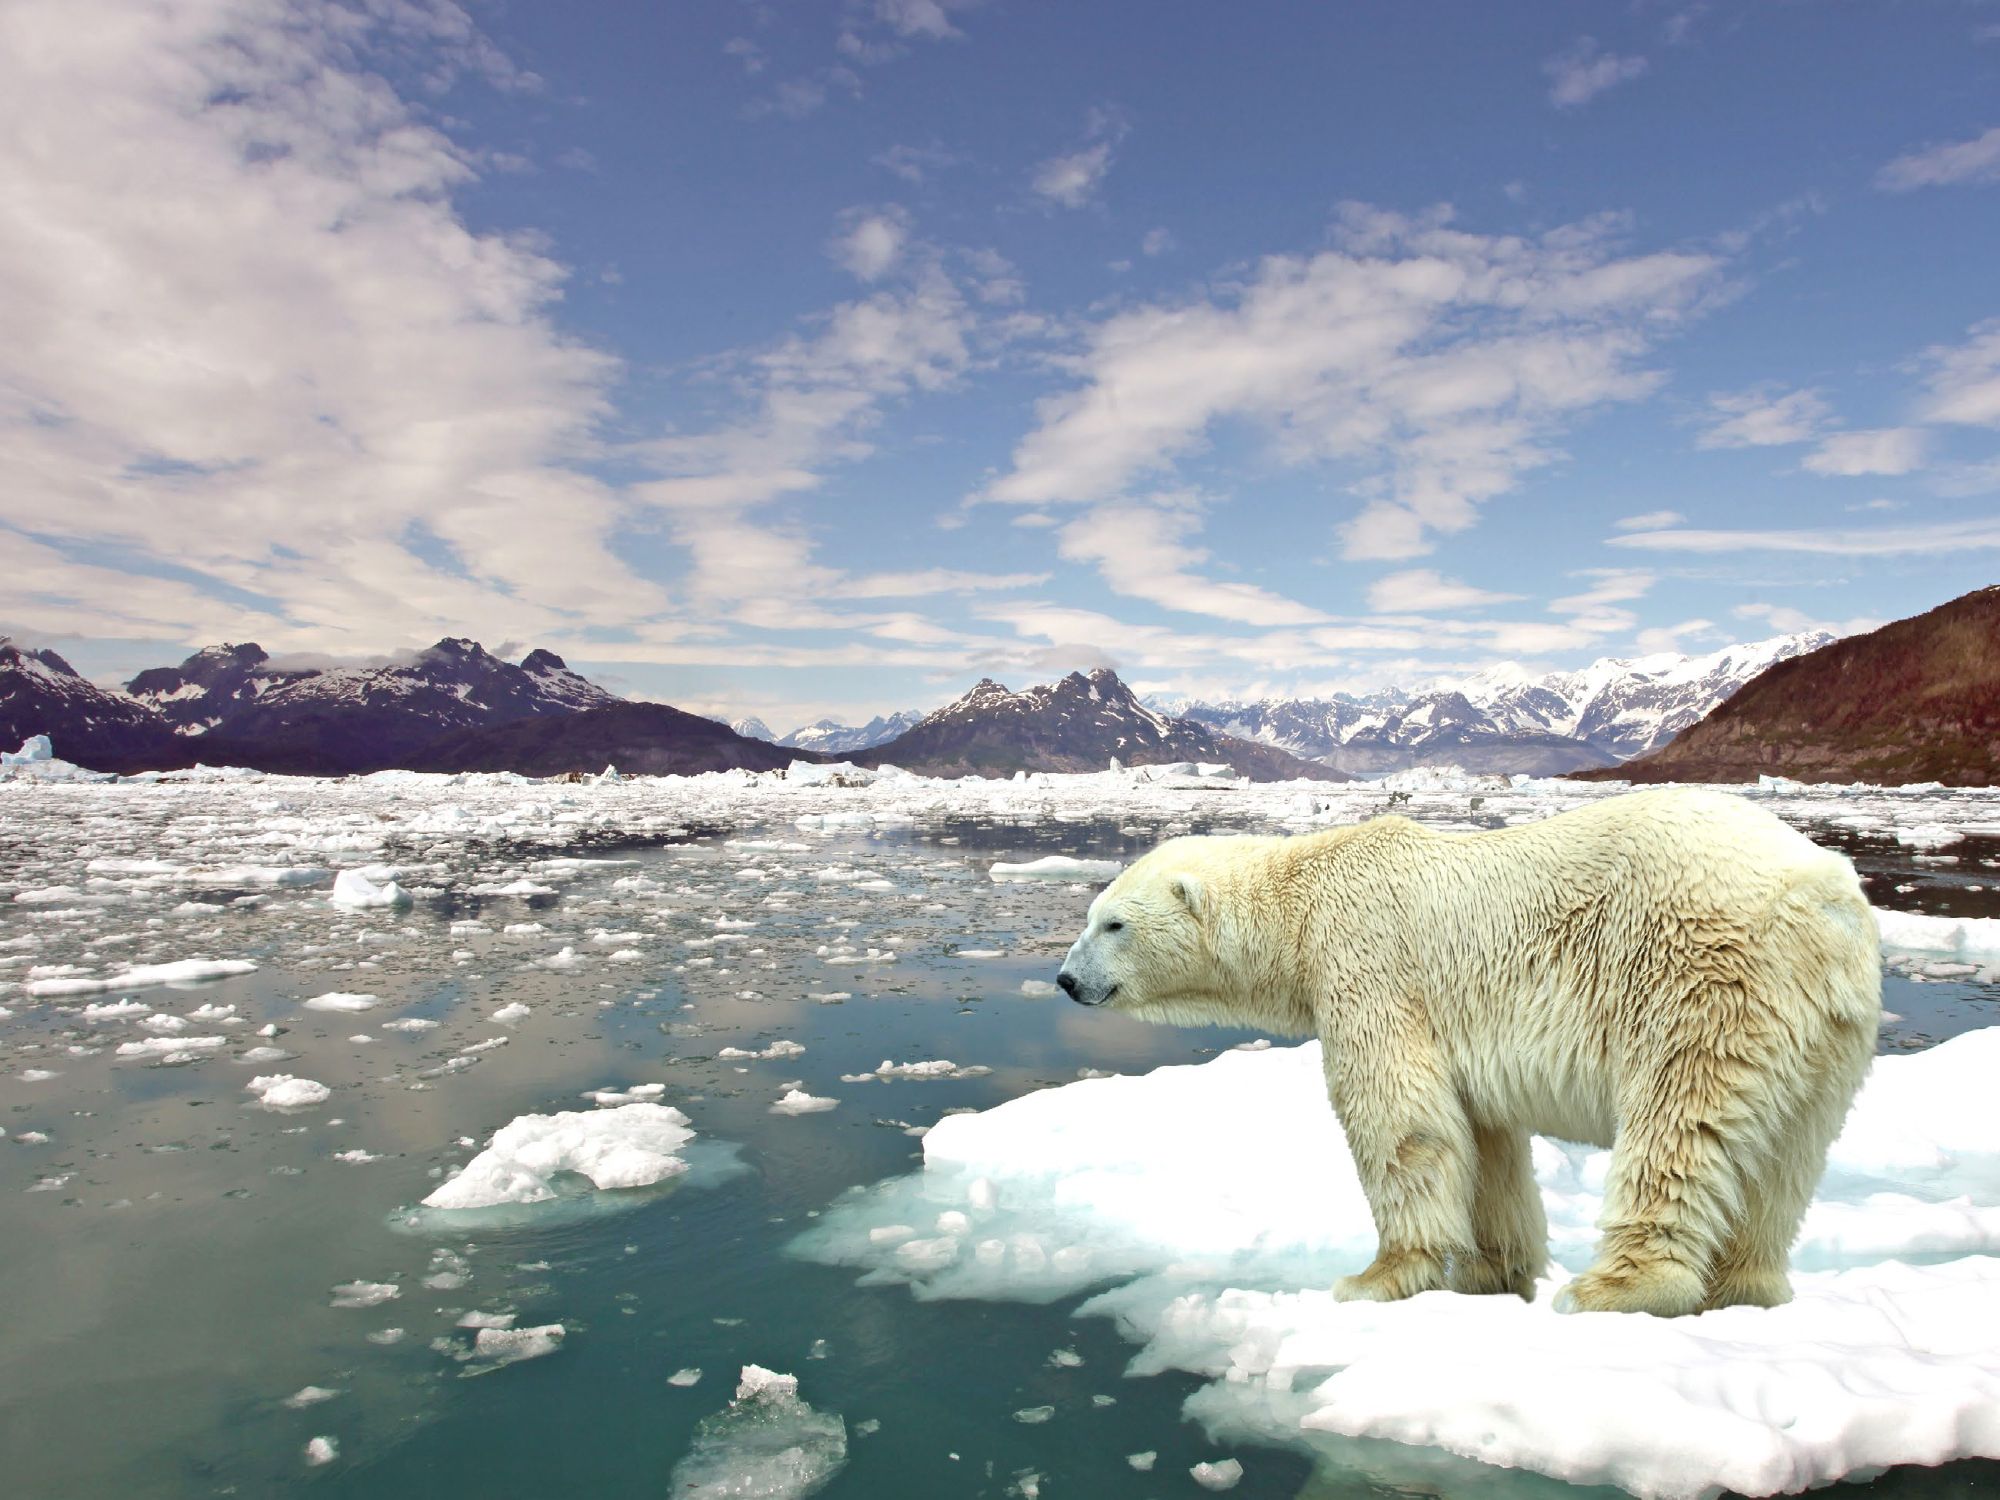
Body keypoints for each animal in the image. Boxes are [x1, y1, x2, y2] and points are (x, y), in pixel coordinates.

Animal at [1056, 788, 1880, 1312]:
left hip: (1701, 975)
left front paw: (1379, 1277)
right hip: (1827, 1029)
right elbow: (1484, 1142)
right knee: (1787, 1157)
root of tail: (1824, 894)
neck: (1304, 899)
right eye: (1093, 914)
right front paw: (1493, 1269)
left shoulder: (1369, 963)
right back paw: (1745, 1288)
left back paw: (1616, 1289)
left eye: (1112, 924)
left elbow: (1399, 1119)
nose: (1065, 980)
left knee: (1680, 1120)